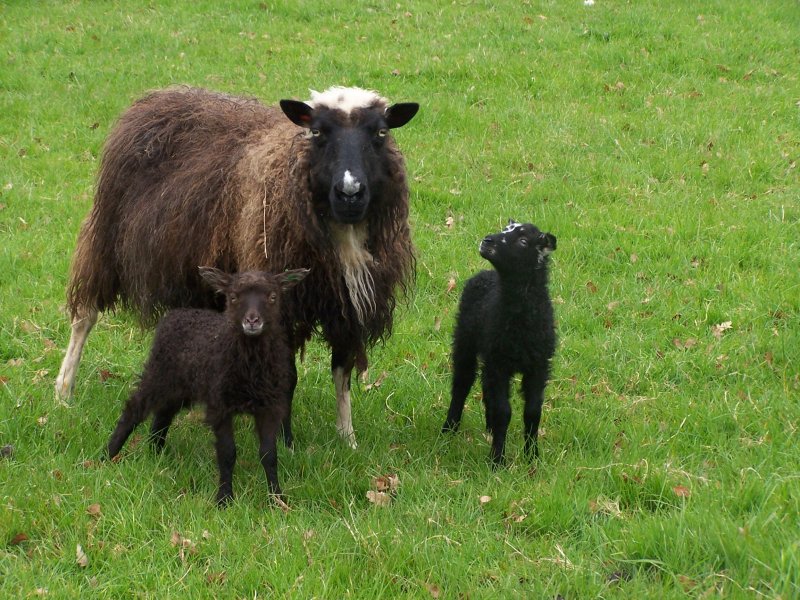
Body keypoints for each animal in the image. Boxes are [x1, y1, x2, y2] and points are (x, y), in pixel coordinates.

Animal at [56, 85, 419, 449]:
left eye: (380, 133)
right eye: (316, 132)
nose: (350, 192)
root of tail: (158, 95)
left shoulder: (348, 307)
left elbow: (342, 371)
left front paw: (347, 439)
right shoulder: (279, 300)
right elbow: (289, 375)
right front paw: (284, 441)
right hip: (105, 237)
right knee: (84, 315)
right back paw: (63, 390)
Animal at [107, 267, 309, 505]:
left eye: (273, 297)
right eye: (233, 297)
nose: (252, 320)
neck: (249, 365)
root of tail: (176, 313)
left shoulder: (268, 407)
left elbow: (269, 455)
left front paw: (276, 499)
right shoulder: (220, 405)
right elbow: (227, 453)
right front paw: (224, 499)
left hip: (180, 386)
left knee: (163, 415)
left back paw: (155, 453)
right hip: (159, 373)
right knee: (134, 409)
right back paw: (107, 455)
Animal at [442, 220, 557, 465]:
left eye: (523, 241)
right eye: (505, 228)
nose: (487, 241)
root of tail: (486, 274)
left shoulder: (538, 366)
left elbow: (533, 412)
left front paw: (532, 457)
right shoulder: (499, 365)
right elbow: (504, 412)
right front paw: (497, 461)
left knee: (485, 387)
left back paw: (489, 429)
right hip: (466, 341)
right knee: (462, 384)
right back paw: (449, 429)